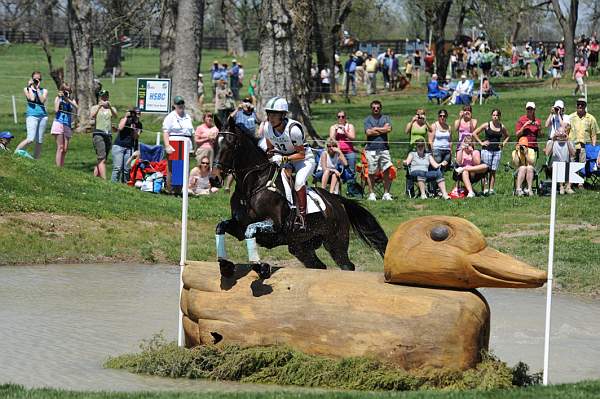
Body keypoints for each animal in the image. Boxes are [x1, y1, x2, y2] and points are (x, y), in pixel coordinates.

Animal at [213, 115, 386, 280]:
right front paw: (225, 266)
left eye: (230, 145)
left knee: (347, 265)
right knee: (318, 266)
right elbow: (221, 226)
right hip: (301, 246)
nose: (214, 178)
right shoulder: (239, 226)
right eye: (215, 143)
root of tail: (336, 200)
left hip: (336, 242)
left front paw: (261, 268)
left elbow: (251, 230)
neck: (253, 186)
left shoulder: (273, 225)